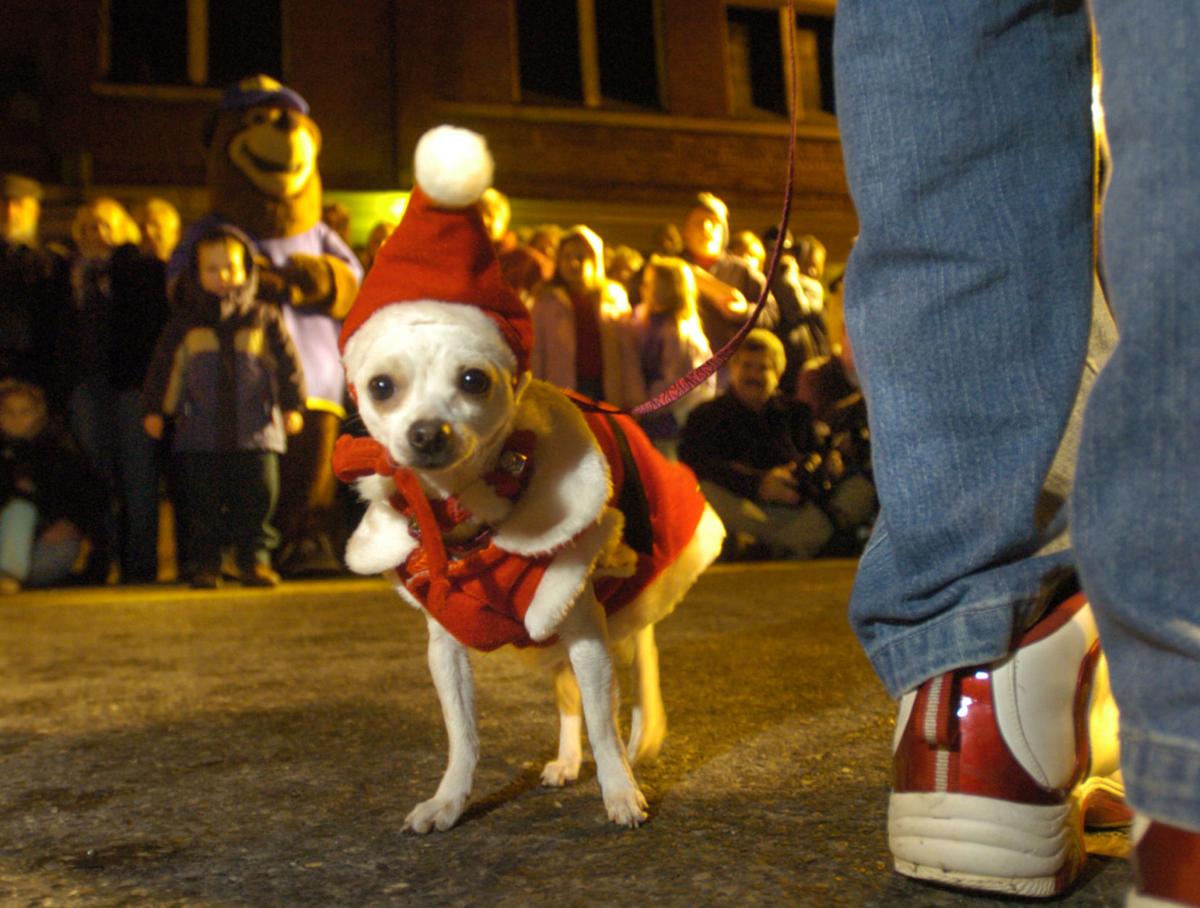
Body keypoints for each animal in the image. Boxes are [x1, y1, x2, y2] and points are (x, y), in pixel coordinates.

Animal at [338, 124, 724, 830]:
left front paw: (619, 789)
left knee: (640, 663)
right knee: (565, 694)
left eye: (474, 379)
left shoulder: (588, 628)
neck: (470, 521)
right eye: (381, 387)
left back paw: (643, 737)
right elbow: (464, 734)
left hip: (625, 601)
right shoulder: (448, 648)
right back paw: (568, 760)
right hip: (549, 633)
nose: (426, 432)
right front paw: (450, 800)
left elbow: (603, 720)